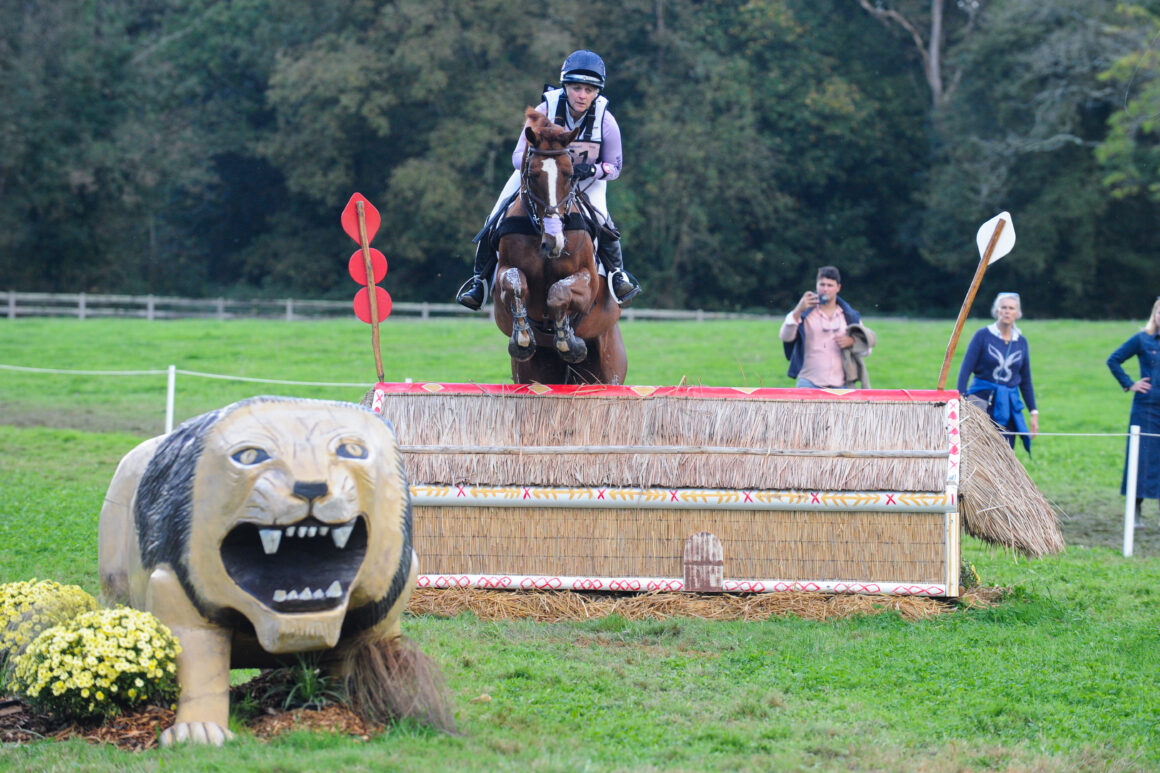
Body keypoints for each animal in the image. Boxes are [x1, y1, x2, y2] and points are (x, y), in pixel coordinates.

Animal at [494, 106, 631, 383]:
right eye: (532, 175)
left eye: (570, 174)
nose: (554, 242)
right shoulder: (504, 272)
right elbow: (515, 282)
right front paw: (523, 338)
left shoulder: (588, 283)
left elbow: (559, 293)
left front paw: (568, 342)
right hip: (533, 373)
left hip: (608, 371)